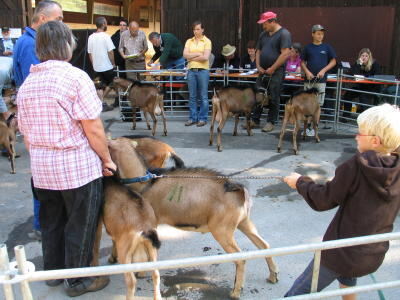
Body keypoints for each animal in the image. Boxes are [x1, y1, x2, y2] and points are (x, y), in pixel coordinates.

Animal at [104, 137, 278, 298]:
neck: (145, 182)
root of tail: (239, 191)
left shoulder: (150, 223)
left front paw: (132, 268)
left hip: (222, 231)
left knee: (240, 258)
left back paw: (236, 292)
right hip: (244, 222)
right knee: (264, 245)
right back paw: (273, 276)